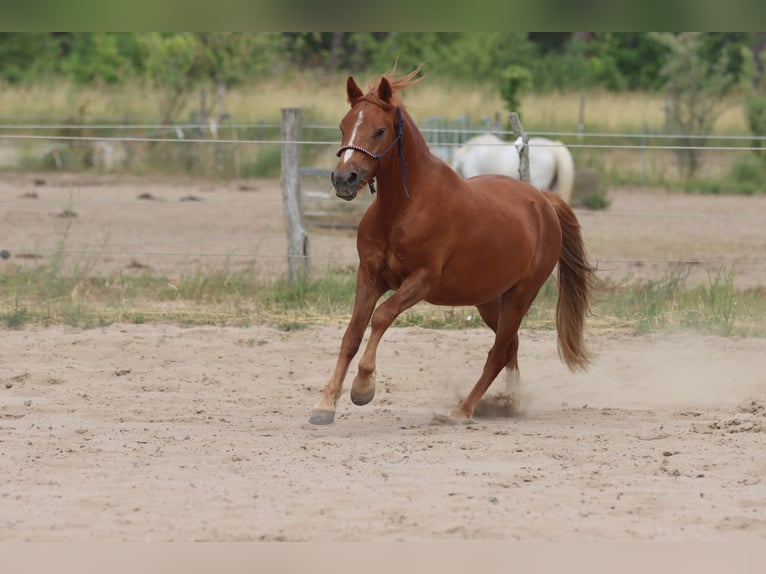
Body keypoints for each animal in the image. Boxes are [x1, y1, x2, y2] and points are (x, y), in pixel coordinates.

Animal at [309, 70, 596, 425]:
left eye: (379, 130)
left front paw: (363, 388)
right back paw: (508, 402)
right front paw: (324, 405)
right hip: (489, 301)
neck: (402, 209)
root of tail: (543, 201)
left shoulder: (421, 281)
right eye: (343, 126)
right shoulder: (370, 277)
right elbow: (351, 335)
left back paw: (463, 410)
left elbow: (382, 316)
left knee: (498, 352)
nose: (343, 179)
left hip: (520, 296)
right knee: (510, 347)